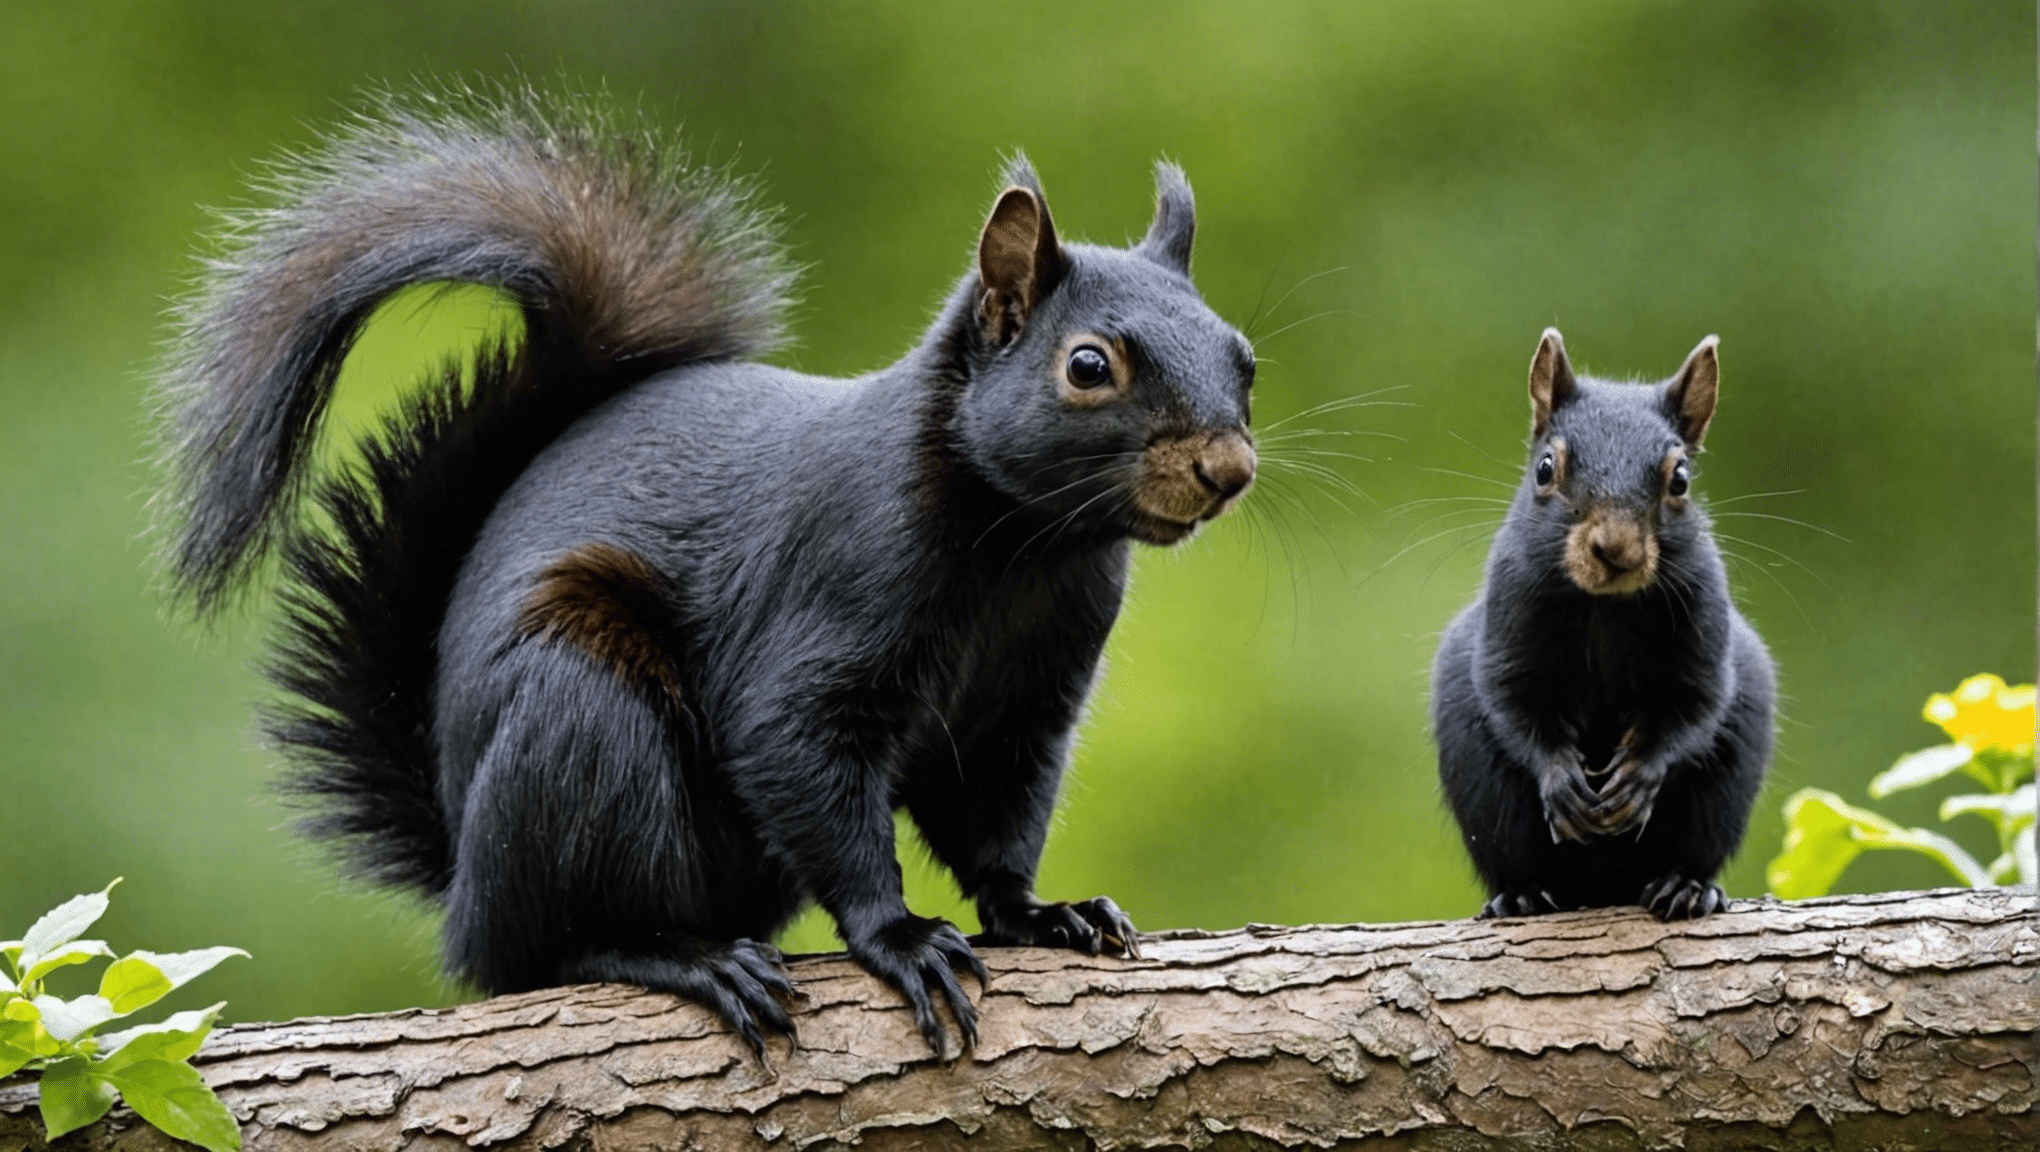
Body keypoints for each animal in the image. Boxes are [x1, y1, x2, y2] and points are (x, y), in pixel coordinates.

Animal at [159, 89, 1248, 1052]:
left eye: (1243, 357)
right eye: (1088, 365)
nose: (1228, 469)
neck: (1028, 552)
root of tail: (465, 869)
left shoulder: (1028, 703)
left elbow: (997, 826)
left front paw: (1039, 912)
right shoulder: (821, 630)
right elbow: (805, 767)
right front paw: (899, 937)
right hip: (581, 713)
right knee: (541, 952)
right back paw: (682, 960)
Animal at [1436, 330, 1770, 917]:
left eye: (1680, 479)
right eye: (1546, 468)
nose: (1616, 549)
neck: (1604, 607)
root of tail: (1599, 891)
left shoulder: (1705, 637)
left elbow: (1694, 709)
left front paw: (1640, 774)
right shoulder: (1507, 627)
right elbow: (1514, 704)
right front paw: (1559, 777)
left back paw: (1685, 886)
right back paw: (1521, 896)